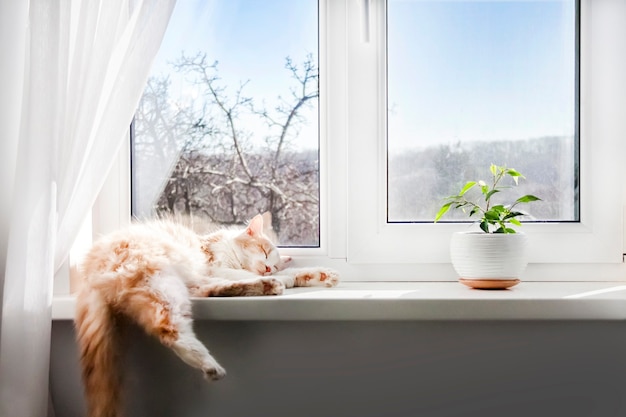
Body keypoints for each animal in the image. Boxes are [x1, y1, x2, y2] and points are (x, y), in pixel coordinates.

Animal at [75, 214, 338, 416]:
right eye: (264, 251)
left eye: (273, 262)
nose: (267, 269)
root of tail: (88, 271)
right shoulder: (215, 266)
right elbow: (246, 273)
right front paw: (285, 277)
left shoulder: (212, 272)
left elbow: (293, 273)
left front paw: (319, 275)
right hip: (161, 281)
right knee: (169, 329)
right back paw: (210, 364)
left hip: (180, 285)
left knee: (211, 291)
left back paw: (266, 285)